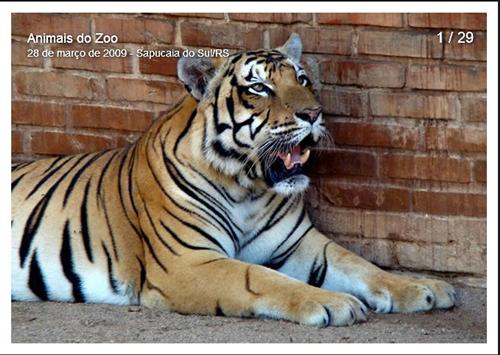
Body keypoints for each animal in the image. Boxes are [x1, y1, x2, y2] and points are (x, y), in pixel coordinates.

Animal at [11, 34, 458, 328]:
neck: (248, 188)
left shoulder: (300, 243)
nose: (314, 114)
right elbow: (258, 277)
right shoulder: (187, 262)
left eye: (302, 79)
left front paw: (424, 288)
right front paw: (335, 303)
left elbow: (359, 264)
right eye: (259, 87)